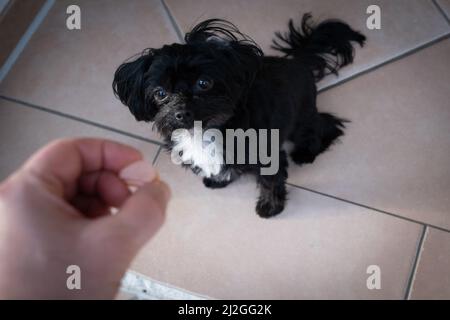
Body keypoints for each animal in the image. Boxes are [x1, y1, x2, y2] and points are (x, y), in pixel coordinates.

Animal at [112, 12, 366, 218]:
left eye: (204, 83)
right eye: (160, 93)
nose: (181, 112)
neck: (207, 131)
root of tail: (297, 61)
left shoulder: (268, 154)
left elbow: (270, 180)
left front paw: (270, 207)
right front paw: (217, 179)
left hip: (302, 118)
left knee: (324, 126)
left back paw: (306, 153)